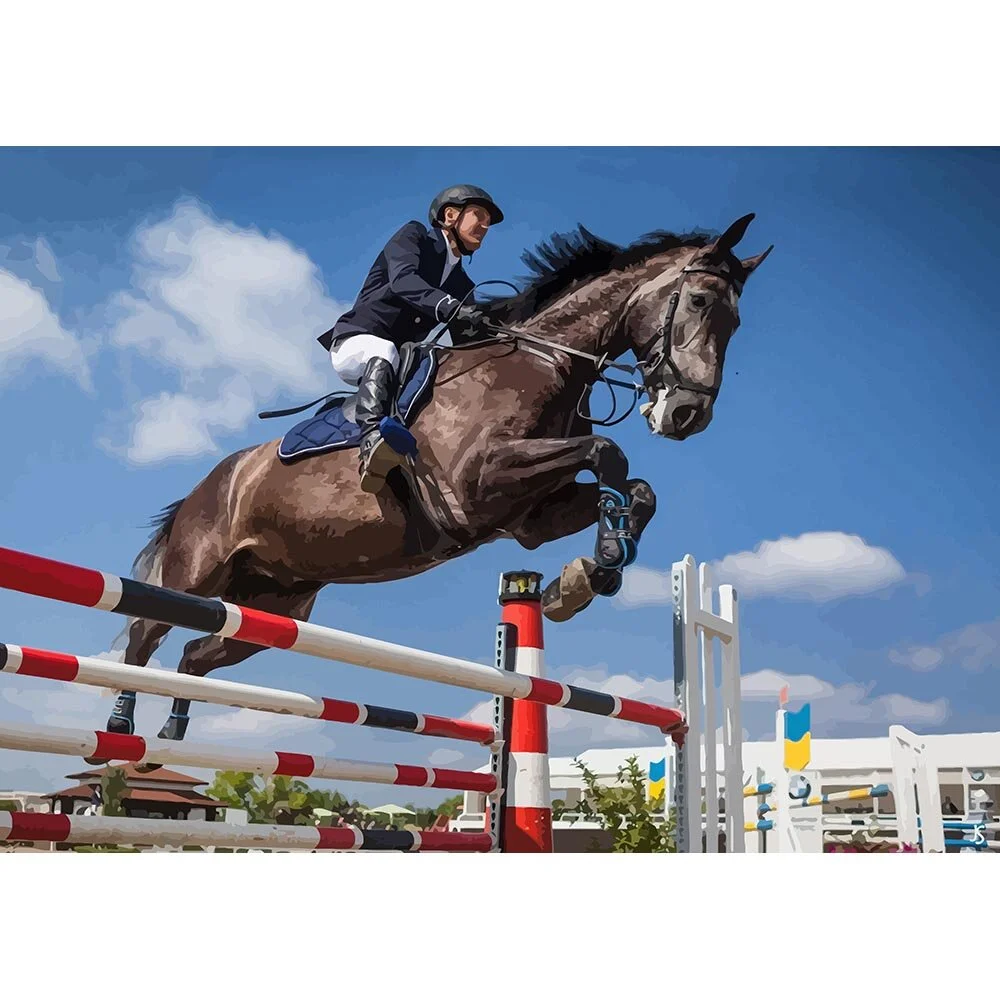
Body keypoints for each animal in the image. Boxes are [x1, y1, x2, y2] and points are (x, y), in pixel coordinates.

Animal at [95, 212, 771, 756]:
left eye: (737, 320)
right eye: (699, 302)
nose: (687, 415)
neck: (543, 363)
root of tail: (210, 482)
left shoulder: (529, 517)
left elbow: (637, 487)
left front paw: (588, 574)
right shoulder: (479, 486)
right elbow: (610, 451)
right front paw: (594, 566)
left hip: (276, 602)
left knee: (198, 652)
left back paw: (173, 730)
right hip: (197, 573)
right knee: (144, 635)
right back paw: (120, 727)